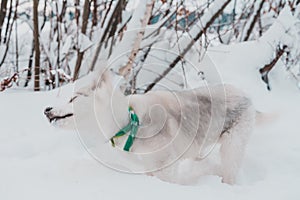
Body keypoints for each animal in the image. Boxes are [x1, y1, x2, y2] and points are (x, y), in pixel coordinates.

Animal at [45, 70, 255, 184]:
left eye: (73, 98)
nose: (46, 109)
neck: (130, 122)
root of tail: (245, 95)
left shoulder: (165, 167)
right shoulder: (150, 168)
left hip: (232, 149)